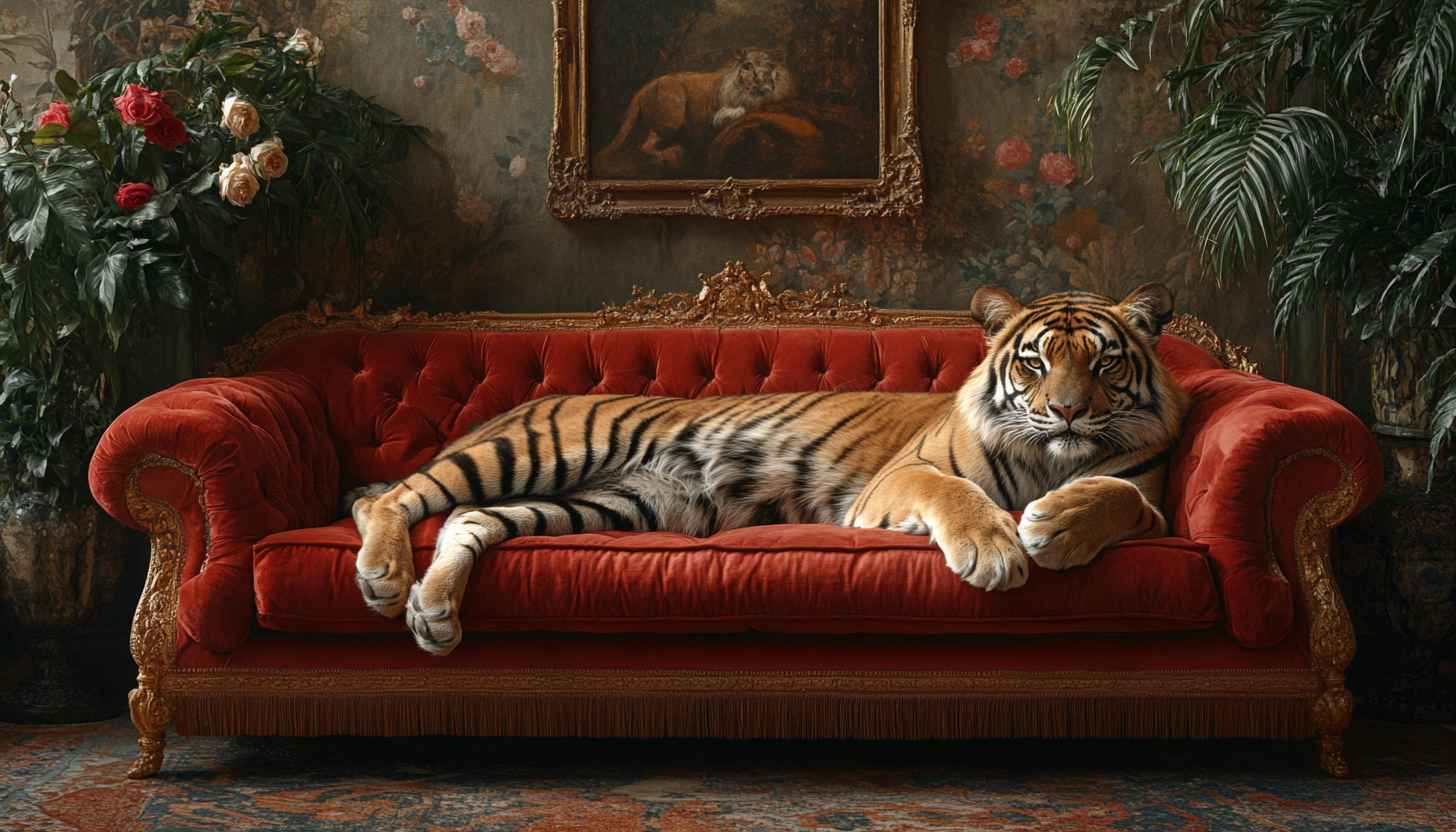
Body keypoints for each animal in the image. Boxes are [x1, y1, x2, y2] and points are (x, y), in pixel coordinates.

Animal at [350, 284, 1191, 656]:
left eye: (1104, 363)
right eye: (1034, 362)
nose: (1069, 412)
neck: (1052, 455)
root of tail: (519, 403)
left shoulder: (1149, 501)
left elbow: (1118, 497)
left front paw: (1056, 526)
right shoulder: (896, 481)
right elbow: (954, 490)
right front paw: (996, 550)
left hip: (621, 506)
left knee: (467, 518)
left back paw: (432, 613)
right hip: (541, 447)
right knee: (395, 497)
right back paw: (385, 576)